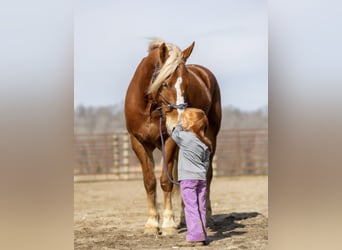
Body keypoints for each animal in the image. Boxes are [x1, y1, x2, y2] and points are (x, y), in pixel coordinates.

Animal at [123, 38, 222, 235]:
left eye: (187, 85)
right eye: (165, 83)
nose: (179, 121)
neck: (150, 108)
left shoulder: (168, 141)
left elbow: (165, 181)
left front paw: (168, 223)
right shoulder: (138, 143)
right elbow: (149, 182)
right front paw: (152, 224)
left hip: (210, 138)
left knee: (206, 176)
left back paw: (206, 217)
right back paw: (185, 219)